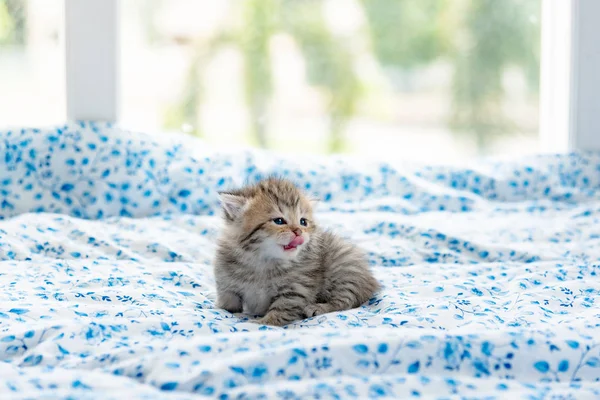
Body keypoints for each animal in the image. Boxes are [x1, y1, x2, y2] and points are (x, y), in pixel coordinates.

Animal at [212, 177, 380, 324]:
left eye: (303, 222)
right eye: (279, 221)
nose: (298, 232)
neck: (262, 261)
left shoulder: (296, 289)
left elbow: (282, 308)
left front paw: (264, 323)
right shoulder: (225, 280)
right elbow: (228, 300)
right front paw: (221, 308)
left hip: (345, 268)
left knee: (346, 300)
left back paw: (318, 307)